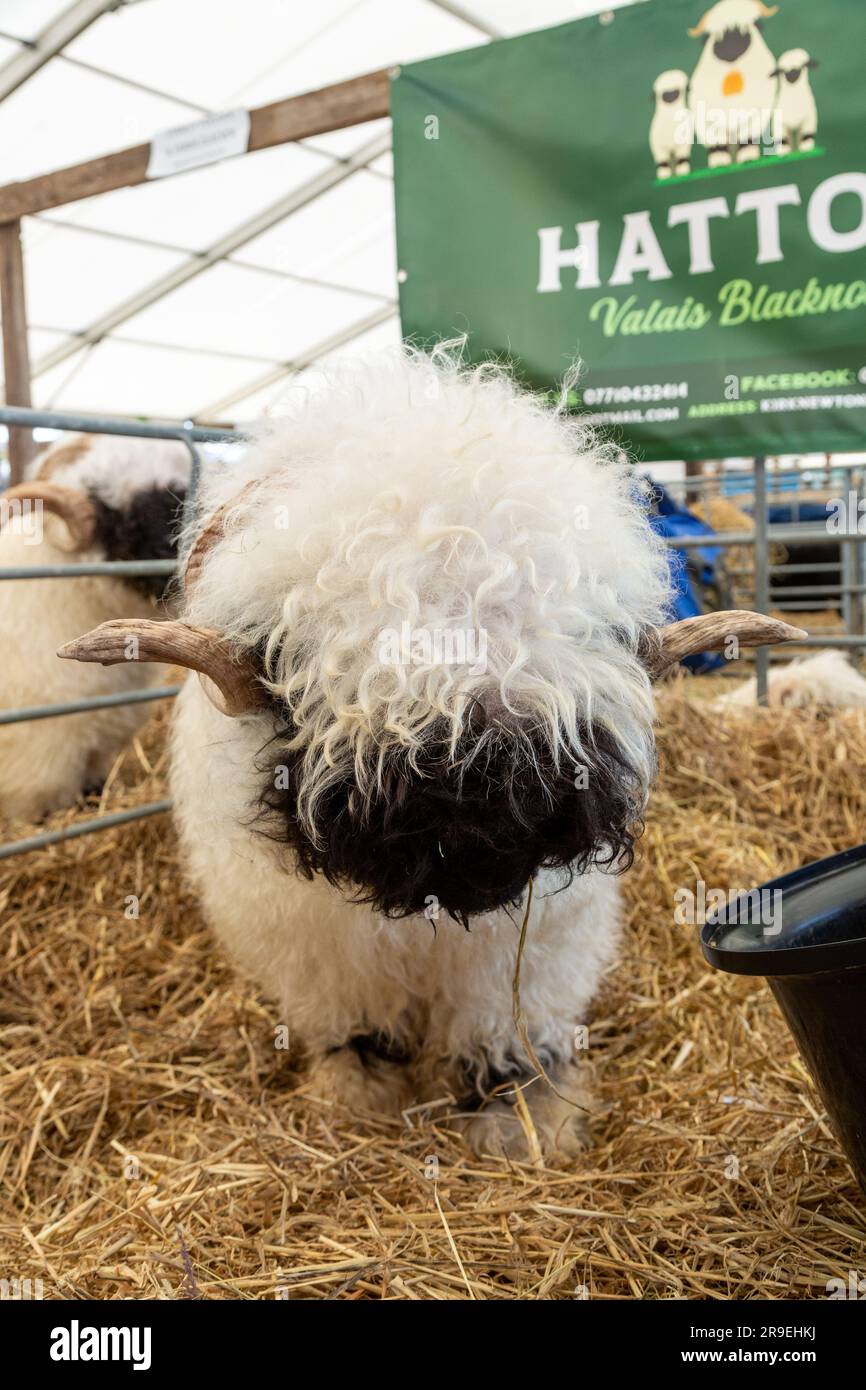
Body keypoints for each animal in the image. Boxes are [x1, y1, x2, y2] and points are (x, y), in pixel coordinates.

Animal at [64, 350, 800, 1162]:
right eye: (297, 641)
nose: (484, 791)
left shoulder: (535, 944)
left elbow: (505, 1031)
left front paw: (521, 1123)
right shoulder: (313, 950)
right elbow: (355, 1028)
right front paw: (362, 1100)